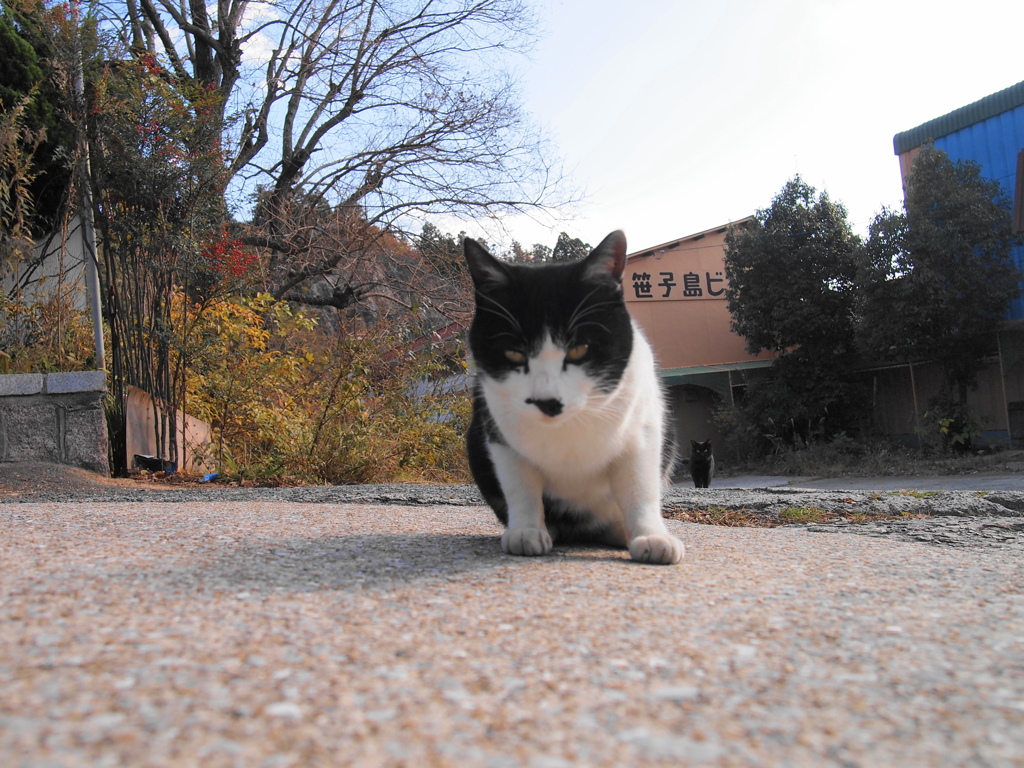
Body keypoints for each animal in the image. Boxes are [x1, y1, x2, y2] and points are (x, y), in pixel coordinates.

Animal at [462, 230, 684, 565]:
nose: (547, 401)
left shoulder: (643, 429)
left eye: (579, 349)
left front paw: (651, 536)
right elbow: (520, 486)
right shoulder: (498, 433)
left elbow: (640, 487)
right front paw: (526, 531)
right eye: (514, 354)